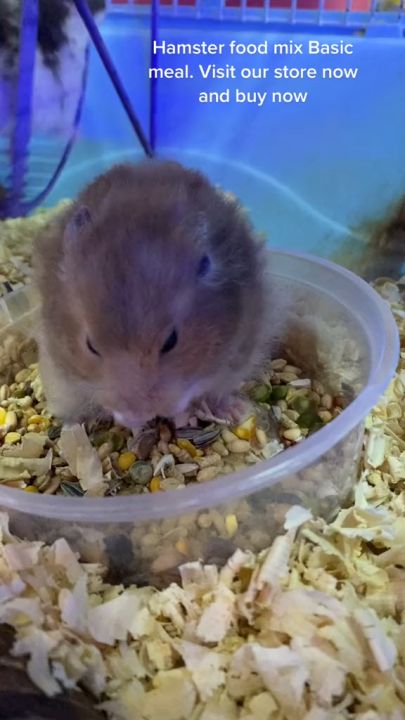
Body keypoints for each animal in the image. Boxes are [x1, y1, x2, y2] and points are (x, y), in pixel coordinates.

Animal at [33, 160, 276, 431]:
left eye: (171, 341)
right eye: (90, 345)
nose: (140, 412)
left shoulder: (237, 351)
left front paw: (182, 415)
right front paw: (135, 424)